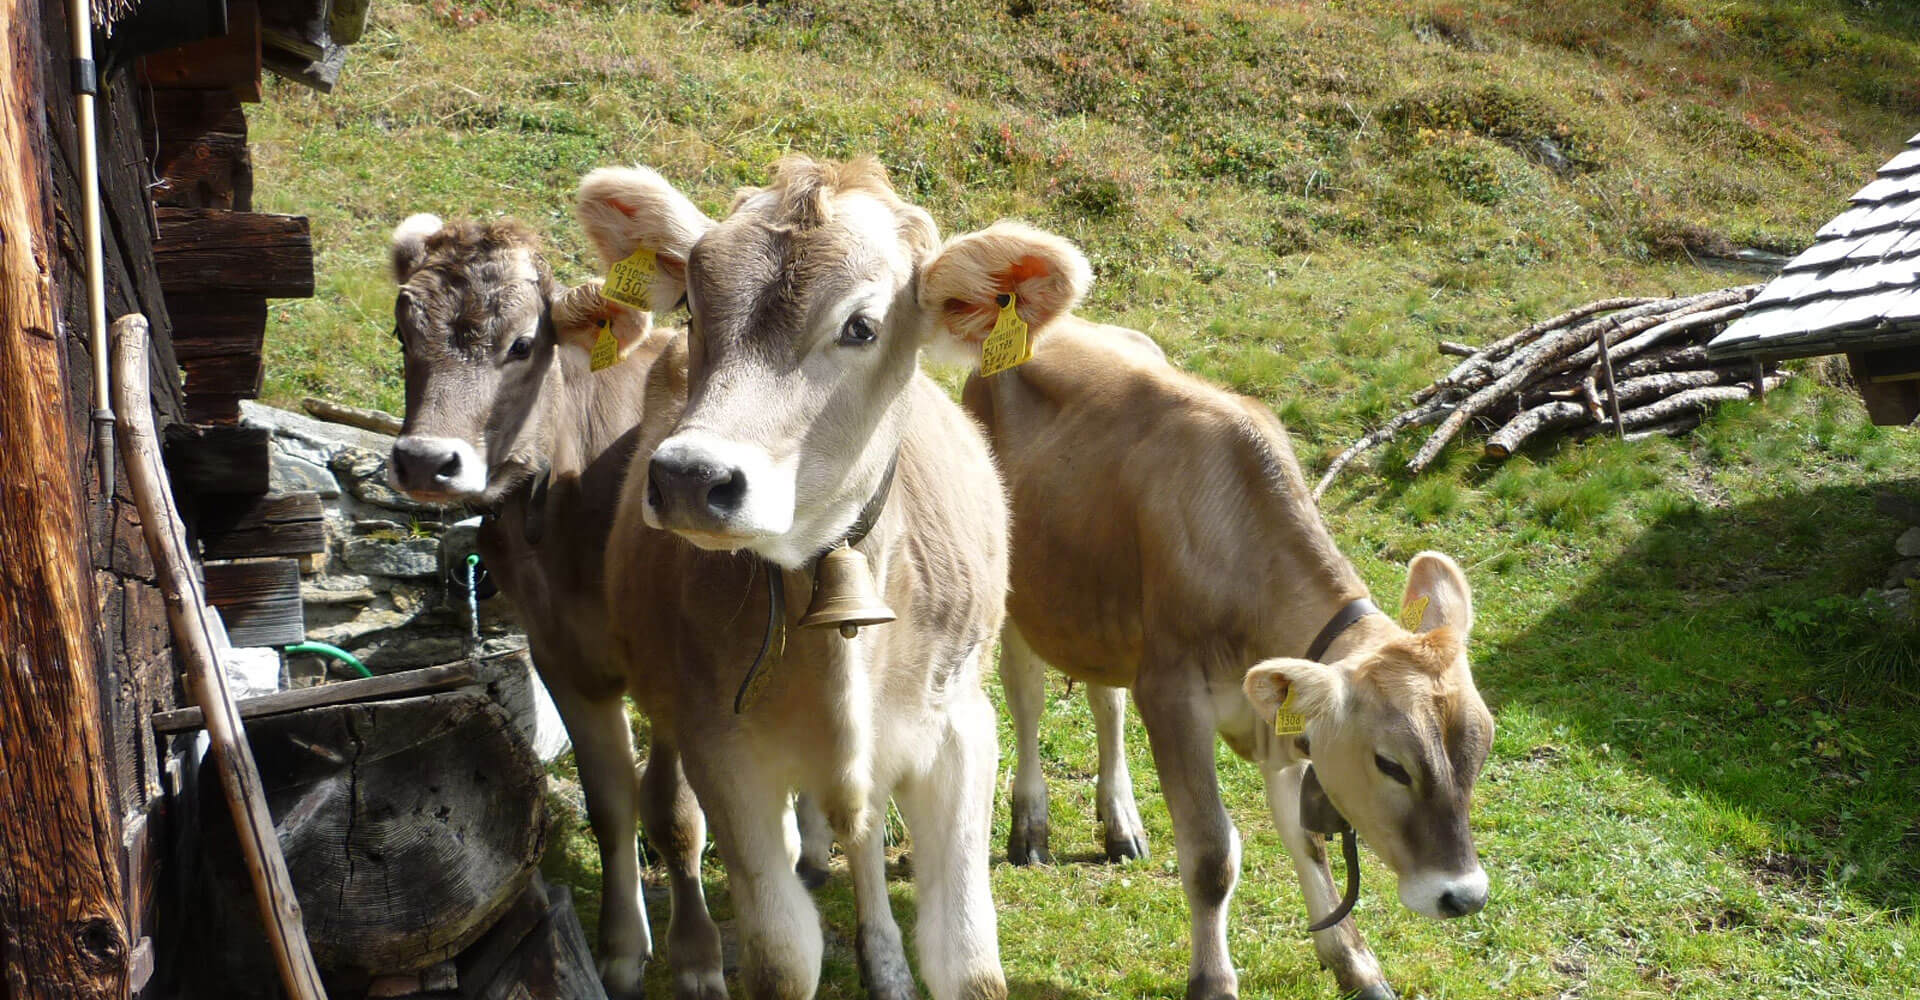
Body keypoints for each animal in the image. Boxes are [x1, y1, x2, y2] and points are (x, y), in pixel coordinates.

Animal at [384, 220, 714, 998]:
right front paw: (621, 951)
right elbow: (612, 803)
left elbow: (673, 812)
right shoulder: (561, 657)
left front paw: (696, 960)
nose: (425, 461)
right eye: (403, 331)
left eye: (521, 344)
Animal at [587, 158, 1067, 998]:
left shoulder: (960, 730)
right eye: (693, 305)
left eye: (860, 327)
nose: (690, 477)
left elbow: (967, 958)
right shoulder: (723, 748)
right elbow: (783, 955)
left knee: (862, 824)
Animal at [952, 222, 1489, 998]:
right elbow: (1211, 855)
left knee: (1105, 701)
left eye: (1481, 749)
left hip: (1105, 613)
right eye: (1391, 764)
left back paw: (1119, 821)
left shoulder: (1278, 712)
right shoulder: (1174, 694)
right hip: (1025, 592)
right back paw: (1031, 825)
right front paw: (1213, 979)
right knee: (1025, 693)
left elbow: (1306, 839)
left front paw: (1355, 963)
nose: (1463, 895)